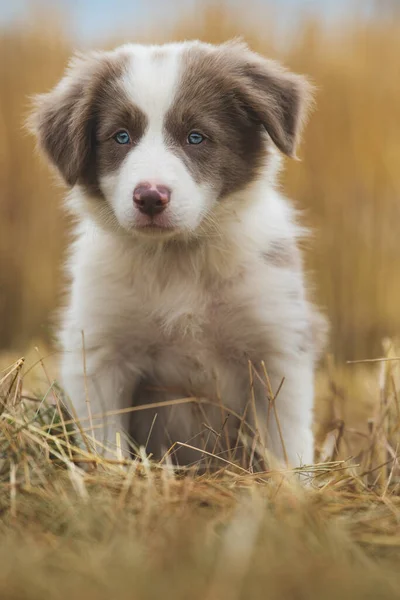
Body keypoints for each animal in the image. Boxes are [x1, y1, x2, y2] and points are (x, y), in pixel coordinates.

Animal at [30, 39, 324, 472]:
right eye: (121, 137)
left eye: (196, 137)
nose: (150, 196)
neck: (177, 259)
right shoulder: (99, 353)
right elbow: (105, 439)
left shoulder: (278, 345)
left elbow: (286, 444)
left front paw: (292, 485)